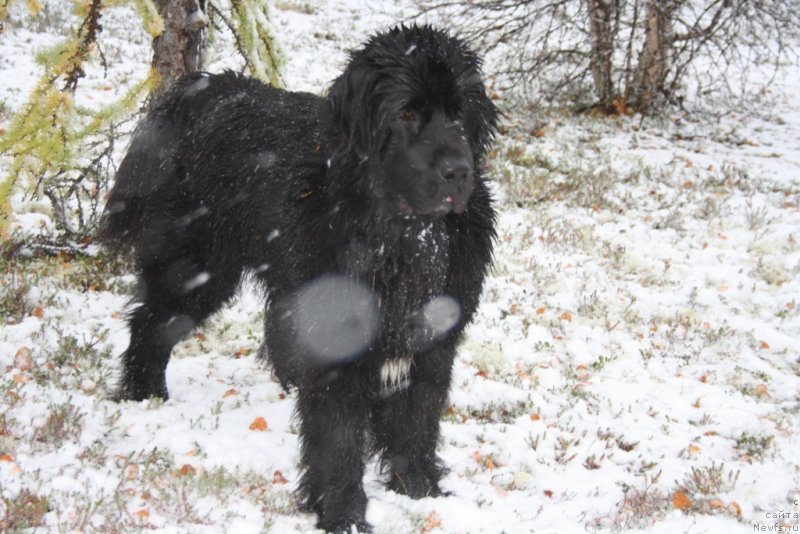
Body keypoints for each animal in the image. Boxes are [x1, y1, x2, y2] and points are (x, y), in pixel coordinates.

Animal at [103, 24, 496, 532]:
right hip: (197, 264)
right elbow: (338, 435)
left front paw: (421, 491)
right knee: (152, 321)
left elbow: (417, 417)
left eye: (459, 112)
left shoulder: (435, 331)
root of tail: (209, 87)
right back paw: (143, 396)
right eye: (407, 113)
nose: (458, 171)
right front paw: (343, 512)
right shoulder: (339, 338)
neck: (401, 234)